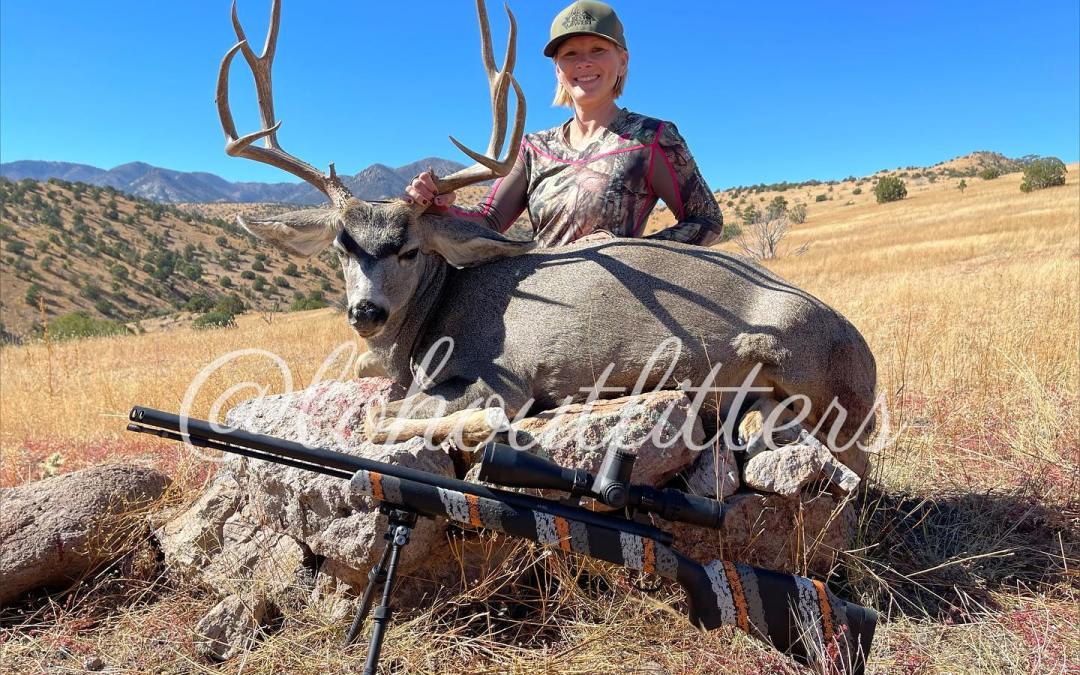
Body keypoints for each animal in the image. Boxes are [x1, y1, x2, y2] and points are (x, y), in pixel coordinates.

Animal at [217, 0, 878, 477]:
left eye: (410, 249)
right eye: (341, 247)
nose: (366, 312)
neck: (430, 324)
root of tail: (865, 357)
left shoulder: (498, 375)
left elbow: (379, 419)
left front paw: (490, 430)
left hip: (811, 380)